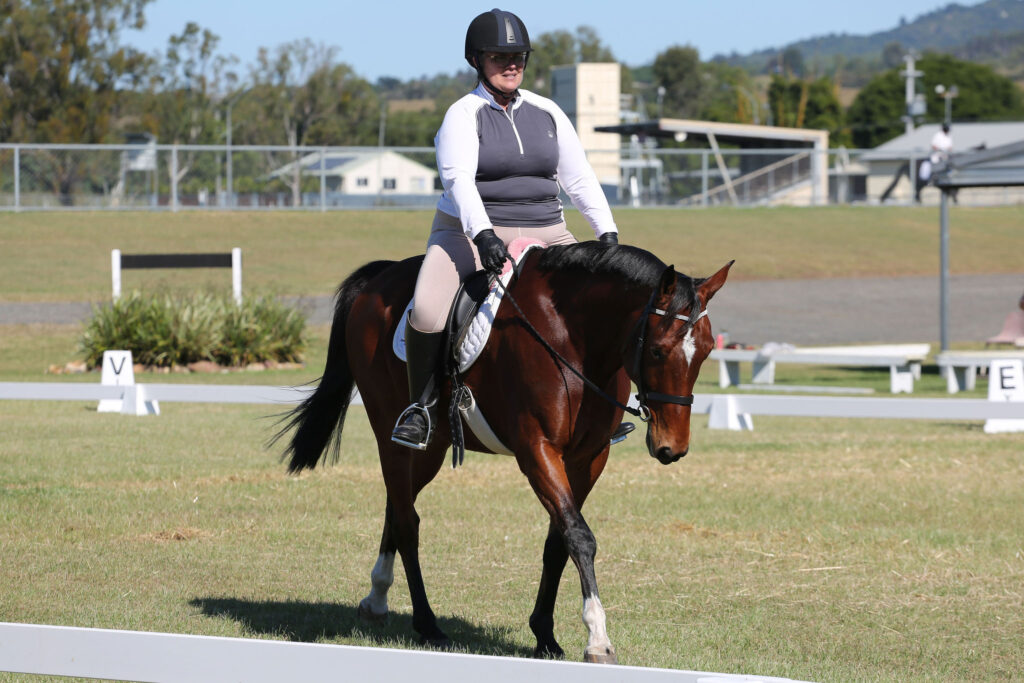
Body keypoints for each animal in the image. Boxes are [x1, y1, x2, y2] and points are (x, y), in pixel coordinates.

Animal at [278, 242, 729, 663]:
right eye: (657, 351)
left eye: (707, 350)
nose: (672, 447)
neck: (574, 337)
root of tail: (380, 278)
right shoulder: (537, 450)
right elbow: (579, 536)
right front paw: (597, 638)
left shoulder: (588, 458)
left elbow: (559, 539)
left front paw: (545, 634)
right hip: (391, 433)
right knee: (407, 521)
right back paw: (428, 625)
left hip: (430, 449)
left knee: (398, 504)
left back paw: (376, 599)